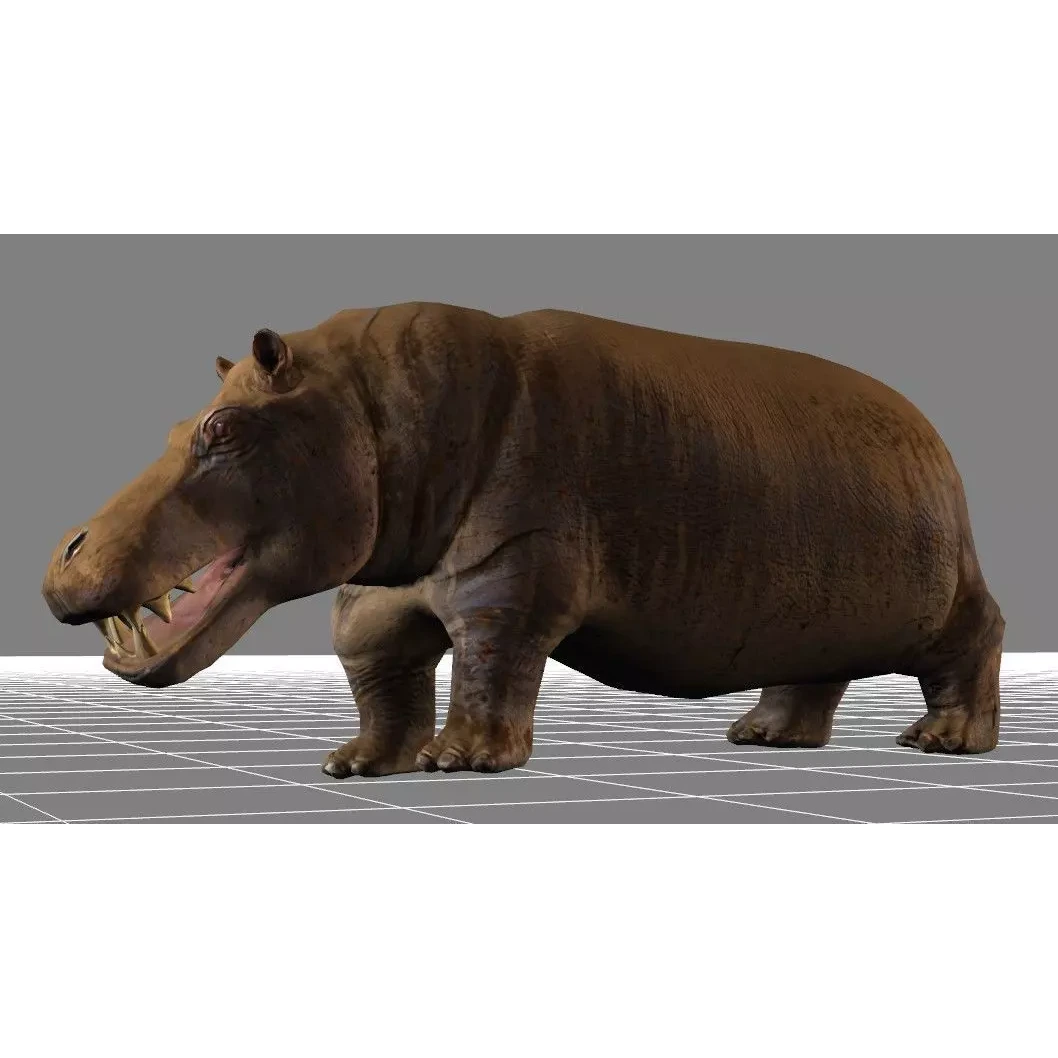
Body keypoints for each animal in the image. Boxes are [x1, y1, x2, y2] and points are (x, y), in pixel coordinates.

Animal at [42, 301, 1005, 777]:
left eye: (224, 428)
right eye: (180, 423)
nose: (65, 551)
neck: (367, 401)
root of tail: (935, 434)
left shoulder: (507, 575)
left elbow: (490, 660)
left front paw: (460, 763)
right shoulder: (379, 592)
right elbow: (378, 672)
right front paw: (353, 766)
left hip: (942, 590)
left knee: (977, 635)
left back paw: (944, 743)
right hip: (818, 595)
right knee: (814, 661)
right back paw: (762, 739)